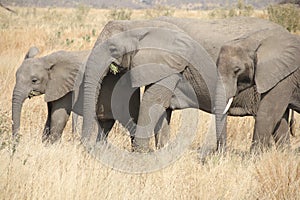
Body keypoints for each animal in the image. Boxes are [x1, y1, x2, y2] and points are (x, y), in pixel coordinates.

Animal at [11, 47, 141, 144]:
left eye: (34, 80)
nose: (17, 141)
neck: (47, 60)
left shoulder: (68, 87)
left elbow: (58, 116)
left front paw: (52, 146)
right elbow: (50, 115)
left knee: (131, 123)